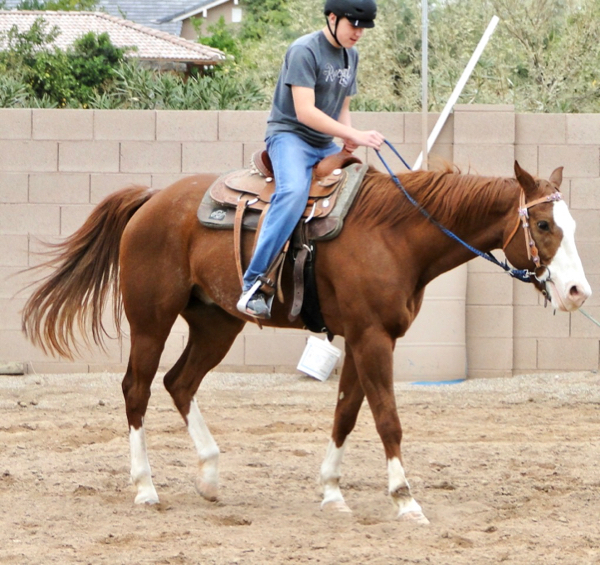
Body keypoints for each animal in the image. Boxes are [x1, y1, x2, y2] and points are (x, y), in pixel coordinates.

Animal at [22, 158, 592, 520]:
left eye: (570, 223)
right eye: (543, 224)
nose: (577, 292)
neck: (395, 234)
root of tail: (152, 201)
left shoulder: (365, 338)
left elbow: (347, 414)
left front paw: (332, 492)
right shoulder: (371, 338)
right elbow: (386, 417)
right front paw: (405, 498)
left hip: (216, 323)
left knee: (179, 383)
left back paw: (209, 476)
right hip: (150, 320)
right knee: (136, 389)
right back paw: (145, 487)